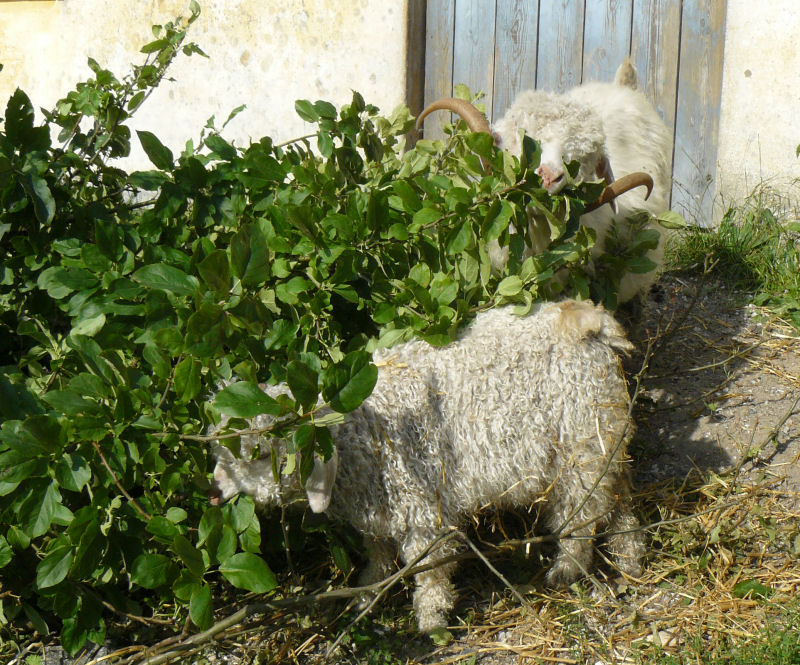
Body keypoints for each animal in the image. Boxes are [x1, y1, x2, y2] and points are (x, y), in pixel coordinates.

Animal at [211, 302, 644, 632]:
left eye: (261, 454)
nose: (214, 492)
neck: (362, 434)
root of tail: (590, 324)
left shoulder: (423, 513)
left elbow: (429, 571)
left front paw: (431, 618)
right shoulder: (377, 514)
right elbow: (378, 554)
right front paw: (367, 592)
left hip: (581, 448)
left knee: (582, 518)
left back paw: (566, 570)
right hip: (605, 444)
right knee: (620, 502)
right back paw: (631, 559)